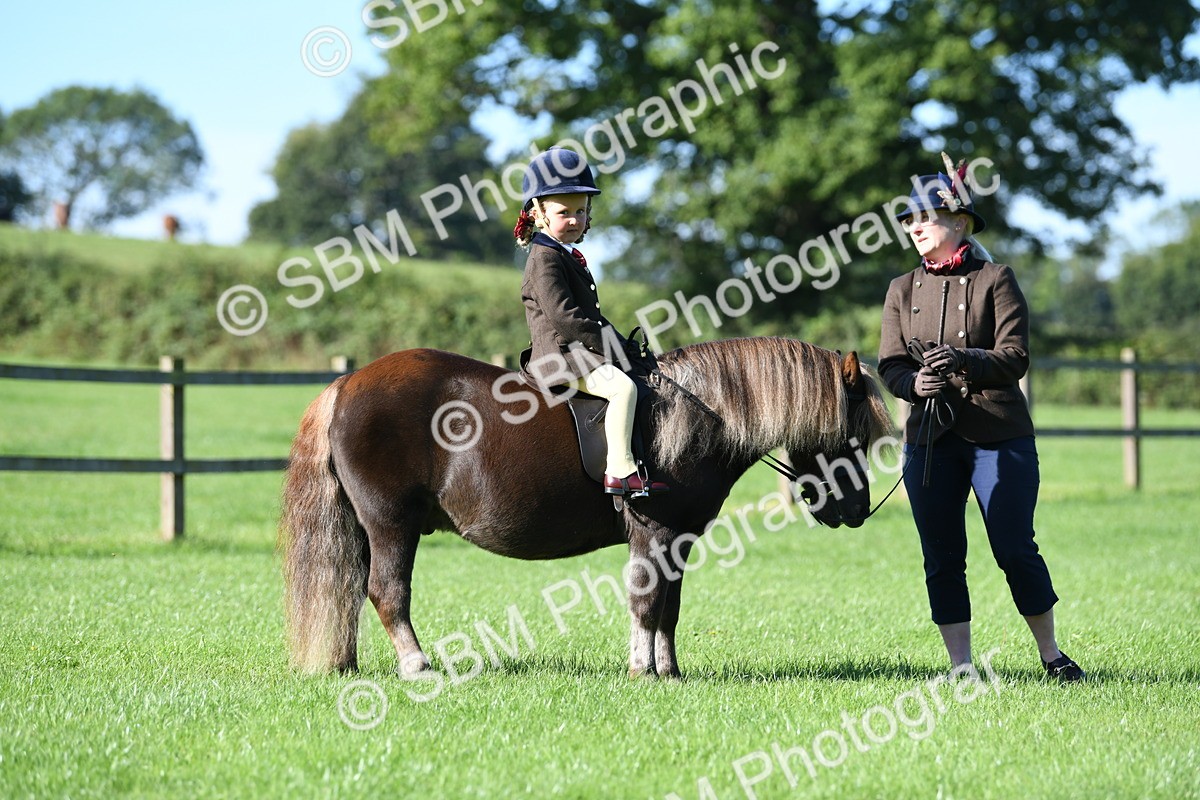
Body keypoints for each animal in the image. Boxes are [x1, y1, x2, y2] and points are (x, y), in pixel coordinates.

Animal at [279, 336, 895, 679]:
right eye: (852, 436)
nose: (857, 510)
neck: (699, 414)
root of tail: (346, 383)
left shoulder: (678, 541)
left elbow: (669, 608)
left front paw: (671, 671)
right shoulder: (653, 534)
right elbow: (645, 602)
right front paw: (642, 671)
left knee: (355, 590)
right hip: (391, 524)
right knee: (387, 591)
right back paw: (416, 665)